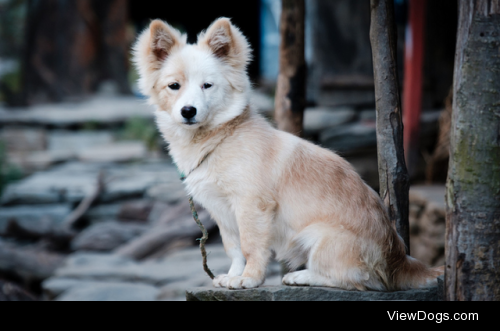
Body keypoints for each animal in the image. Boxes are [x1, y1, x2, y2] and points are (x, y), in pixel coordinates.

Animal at [133, 18, 442, 292]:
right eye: (174, 86)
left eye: (207, 86)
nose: (188, 111)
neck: (220, 137)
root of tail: (399, 259)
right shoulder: (222, 213)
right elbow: (234, 249)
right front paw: (233, 275)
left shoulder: (251, 206)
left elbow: (251, 246)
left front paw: (249, 279)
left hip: (321, 238)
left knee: (357, 280)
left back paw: (302, 276)